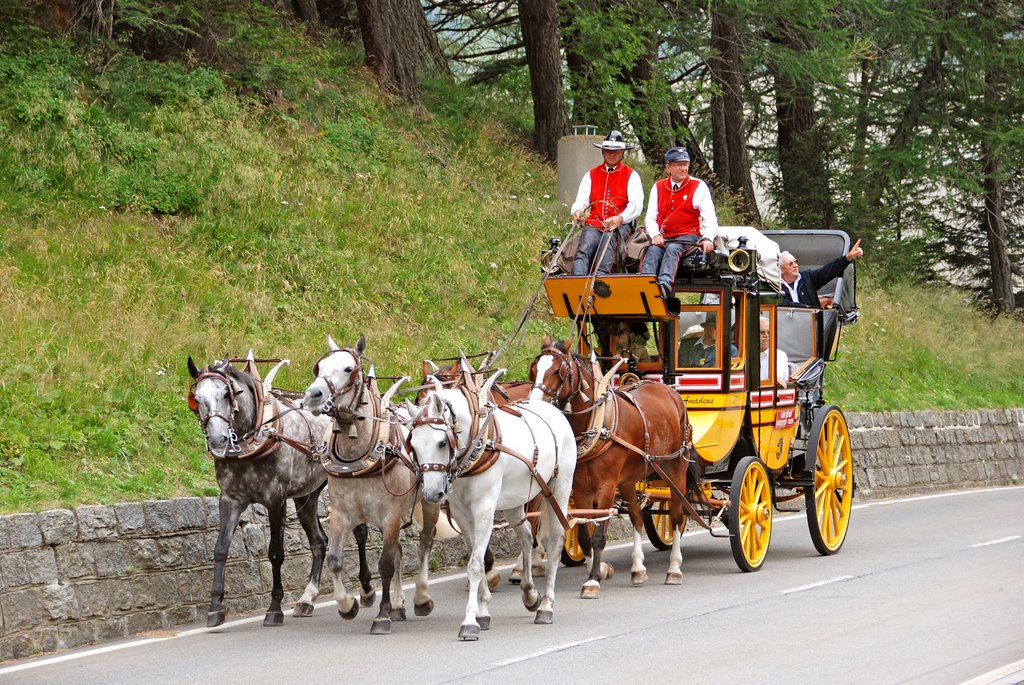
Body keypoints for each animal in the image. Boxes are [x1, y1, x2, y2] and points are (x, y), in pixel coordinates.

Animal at [299, 333, 436, 634]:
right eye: (319, 367)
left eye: (348, 369)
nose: (312, 395)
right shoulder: (341, 514)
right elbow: (335, 559)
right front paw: (347, 605)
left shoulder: (391, 514)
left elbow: (384, 564)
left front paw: (381, 615)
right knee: (399, 551)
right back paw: (399, 605)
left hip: (430, 500)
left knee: (424, 542)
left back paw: (421, 598)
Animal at [405, 370, 577, 638]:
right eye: (412, 444)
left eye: (442, 442)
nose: (432, 494)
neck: (478, 444)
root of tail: (555, 411)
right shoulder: (462, 514)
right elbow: (478, 556)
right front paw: (483, 612)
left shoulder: (484, 509)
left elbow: (476, 564)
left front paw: (469, 621)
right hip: (515, 499)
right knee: (526, 535)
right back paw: (530, 594)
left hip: (560, 487)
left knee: (556, 540)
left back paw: (546, 606)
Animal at [528, 339, 704, 593]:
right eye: (534, 369)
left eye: (557, 371)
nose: (533, 405)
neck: (597, 423)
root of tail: (671, 392)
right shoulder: (580, 489)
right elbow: (584, 534)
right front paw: (598, 570)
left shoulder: (607, 487)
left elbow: (599, 535)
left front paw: (593, 579)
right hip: (630, 478)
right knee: (637, 516)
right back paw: (638, 569)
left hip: (675, 467)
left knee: (676, 516)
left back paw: (674, 569)